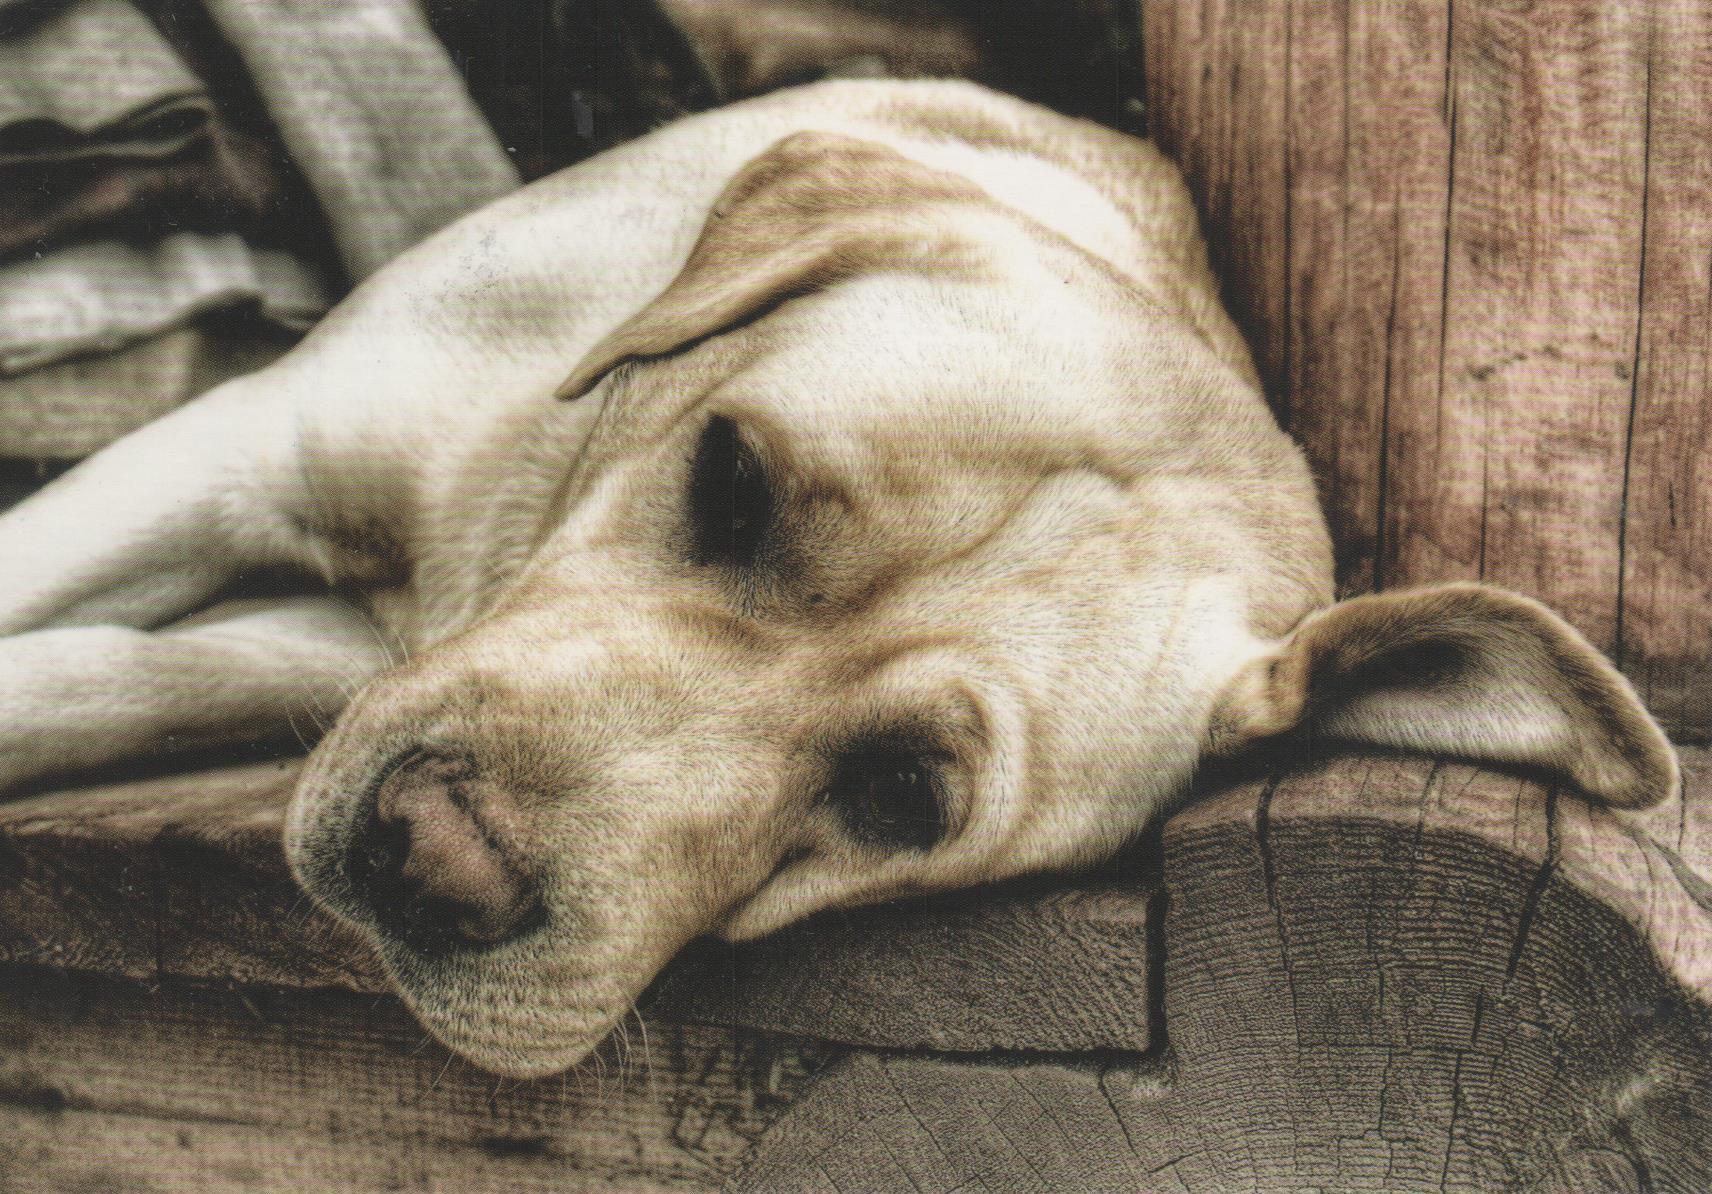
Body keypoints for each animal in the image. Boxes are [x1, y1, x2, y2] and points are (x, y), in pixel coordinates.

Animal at [0, 80, 1678, 1077]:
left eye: (898, 796)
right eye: (731, 481)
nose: (434, 857)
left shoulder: (317, 635)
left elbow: (113, 678)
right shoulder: (244, 443)